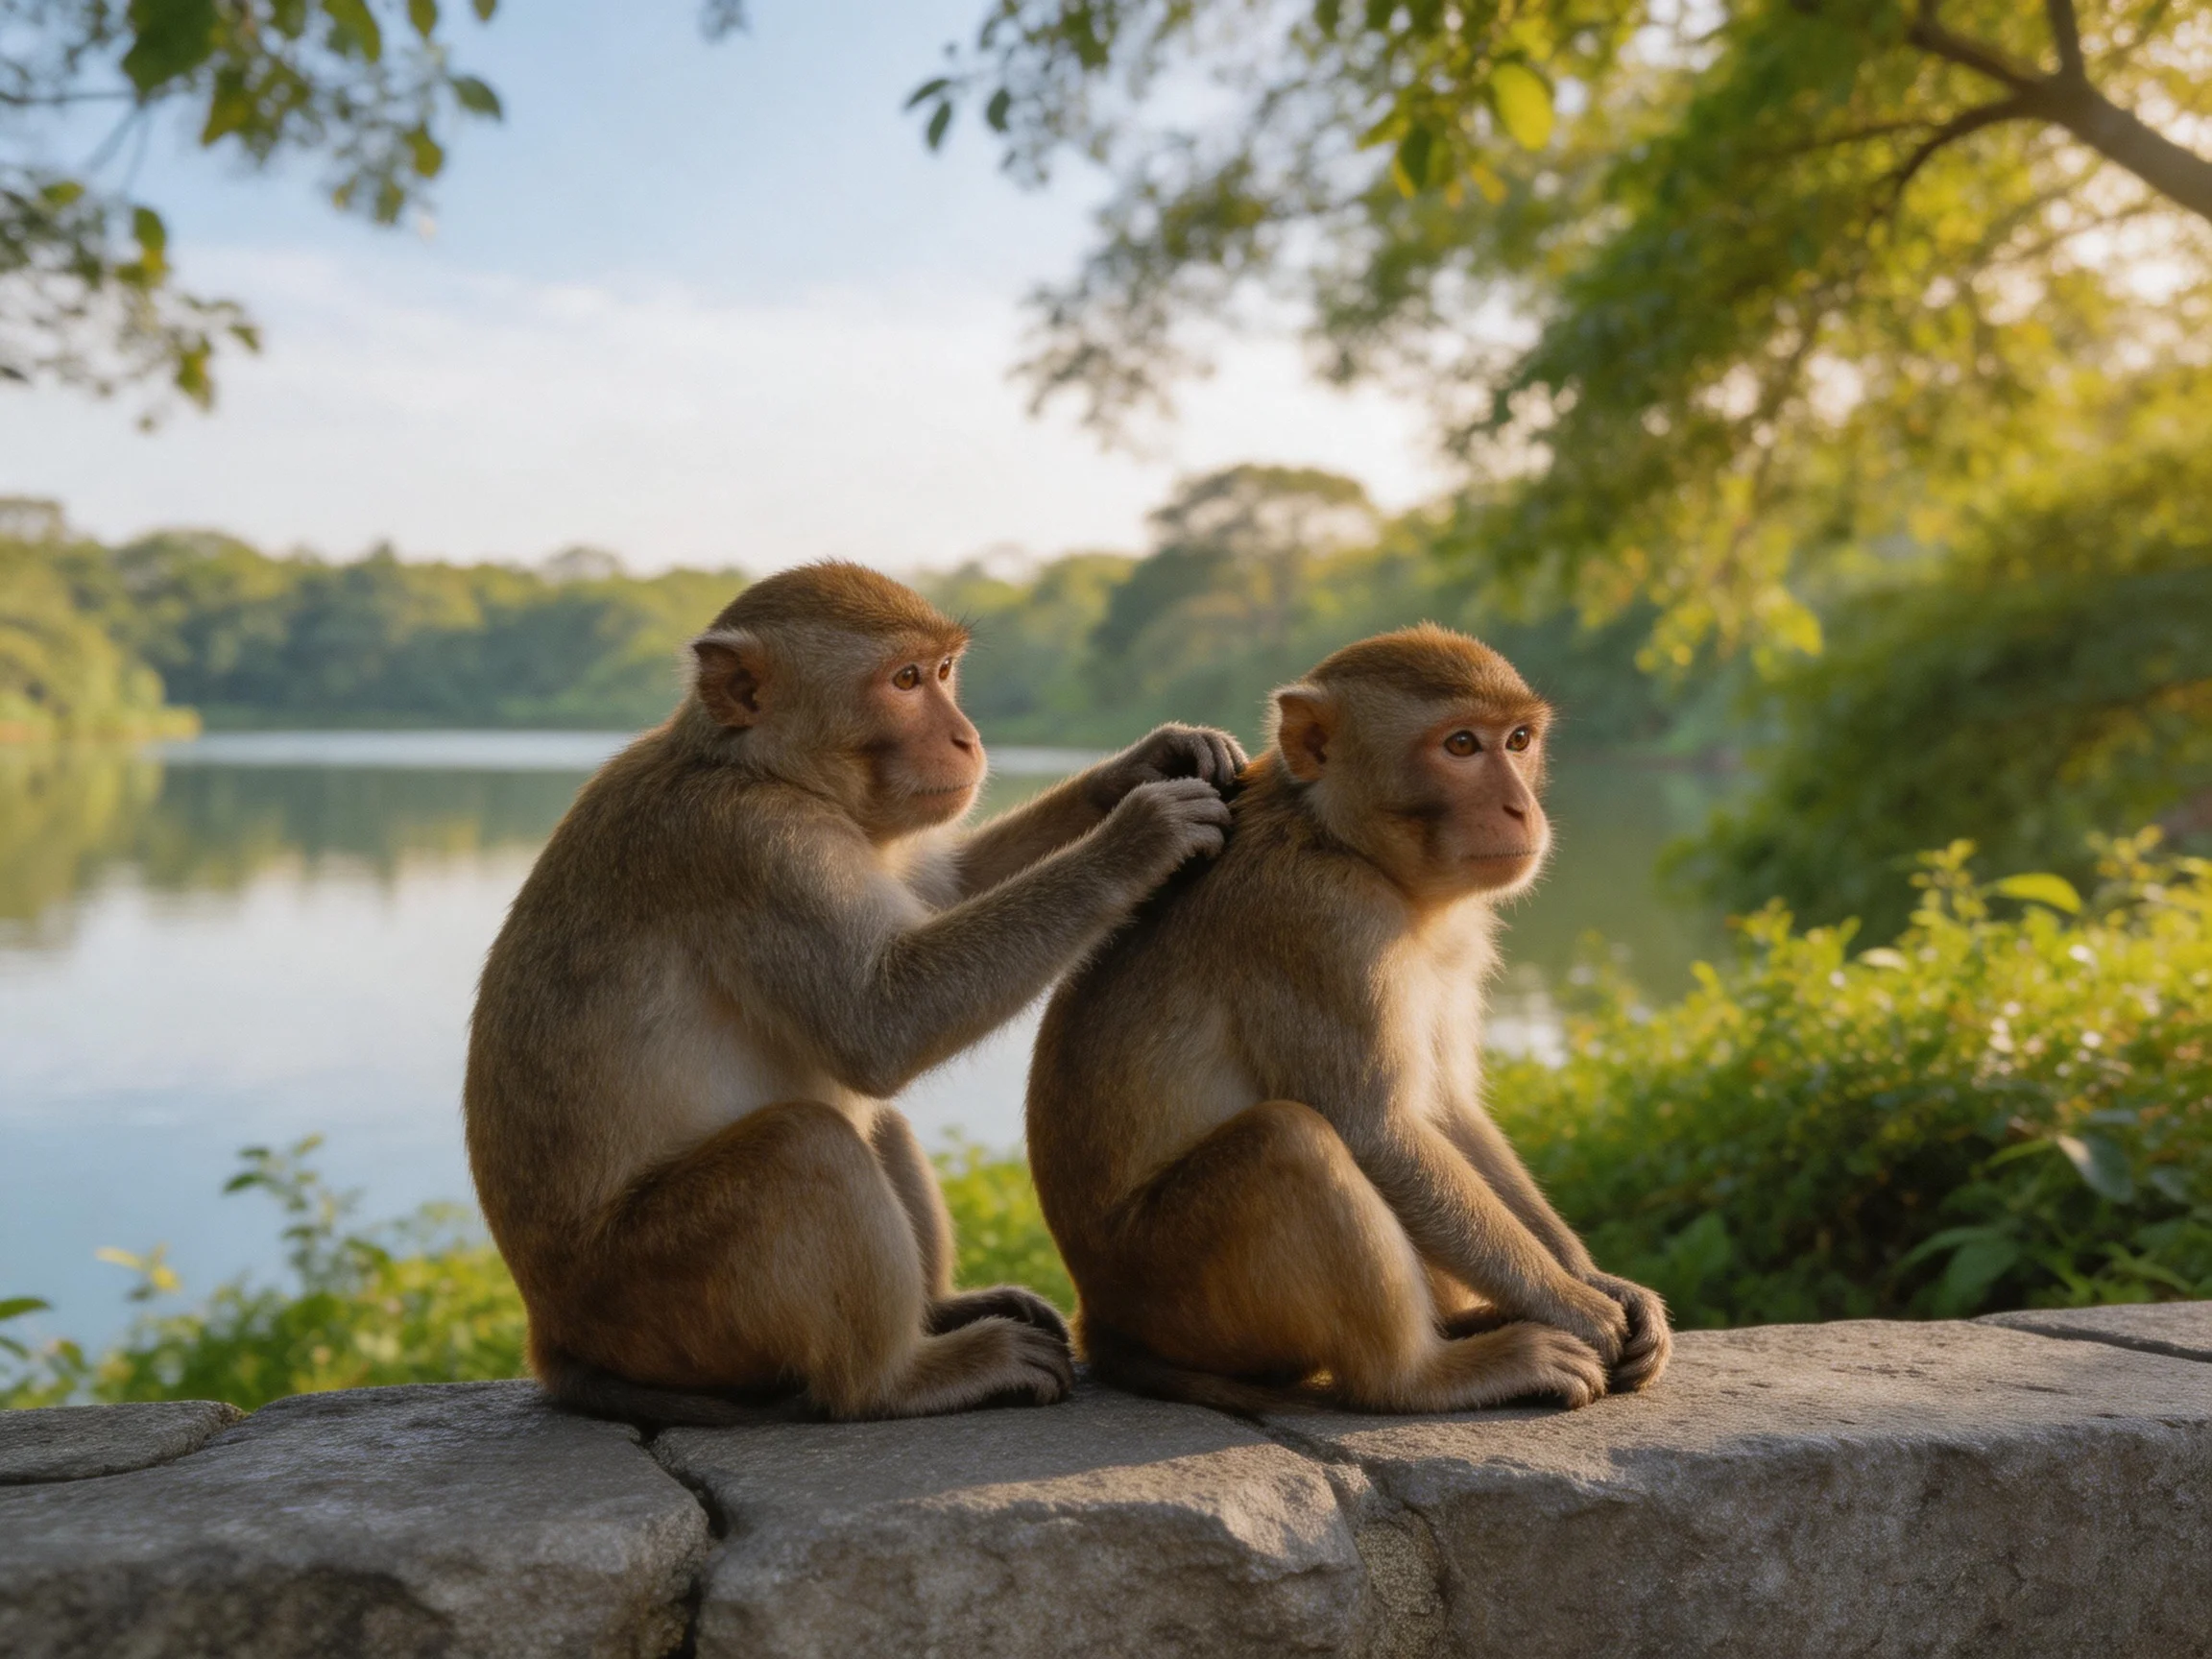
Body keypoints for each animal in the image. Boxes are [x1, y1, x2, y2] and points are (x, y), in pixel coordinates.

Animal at [464, 561, 1243, 1424]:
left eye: (943, 672)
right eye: (904, 681)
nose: (967, 737)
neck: (760, 769)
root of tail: (552, 1333)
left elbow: (945, 887)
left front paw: (1147, 761)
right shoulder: (756, 847)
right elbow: (881, 1026)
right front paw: (1138, 838)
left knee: (873, 1123)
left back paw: (942, 1313)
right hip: (650, 1300)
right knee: (806, 1146)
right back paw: (902, 1378)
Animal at [1026, 623, 1672, 1414]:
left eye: (1518, 740)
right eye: (1461, 745)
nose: (1521, 807)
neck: (1341, 841)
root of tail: (1100, 1318)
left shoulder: (1453, 937)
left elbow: (1445, 1108)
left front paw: (1597, 1280)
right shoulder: (1321, 921)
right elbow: (1377, 1130)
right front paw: (1577, 1305)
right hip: (1170, 1289)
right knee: (1288, 1139)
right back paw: (1427, 1373)